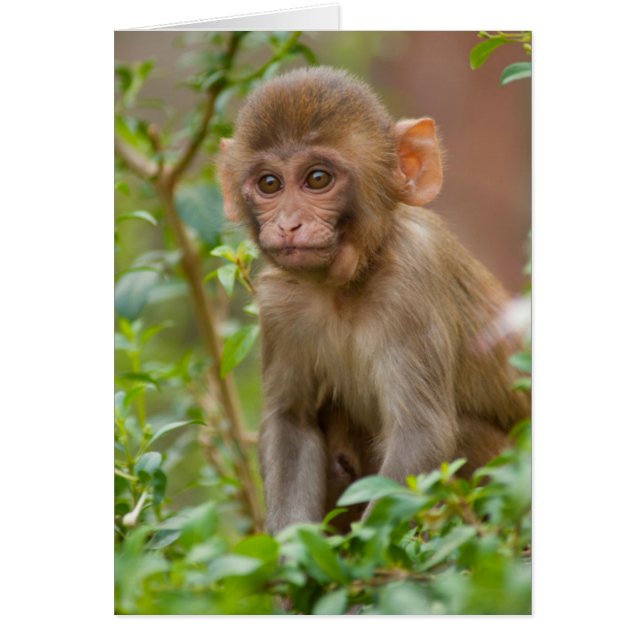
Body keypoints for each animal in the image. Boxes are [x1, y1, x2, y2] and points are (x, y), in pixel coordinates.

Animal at [218, 67, 530, 534]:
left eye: (317, 179)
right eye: (269, 184)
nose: (289, 225)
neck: (345, 285)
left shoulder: (412, 282)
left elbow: (421, 435)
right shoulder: (278, 304)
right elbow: (292, 422)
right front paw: (291, 551)